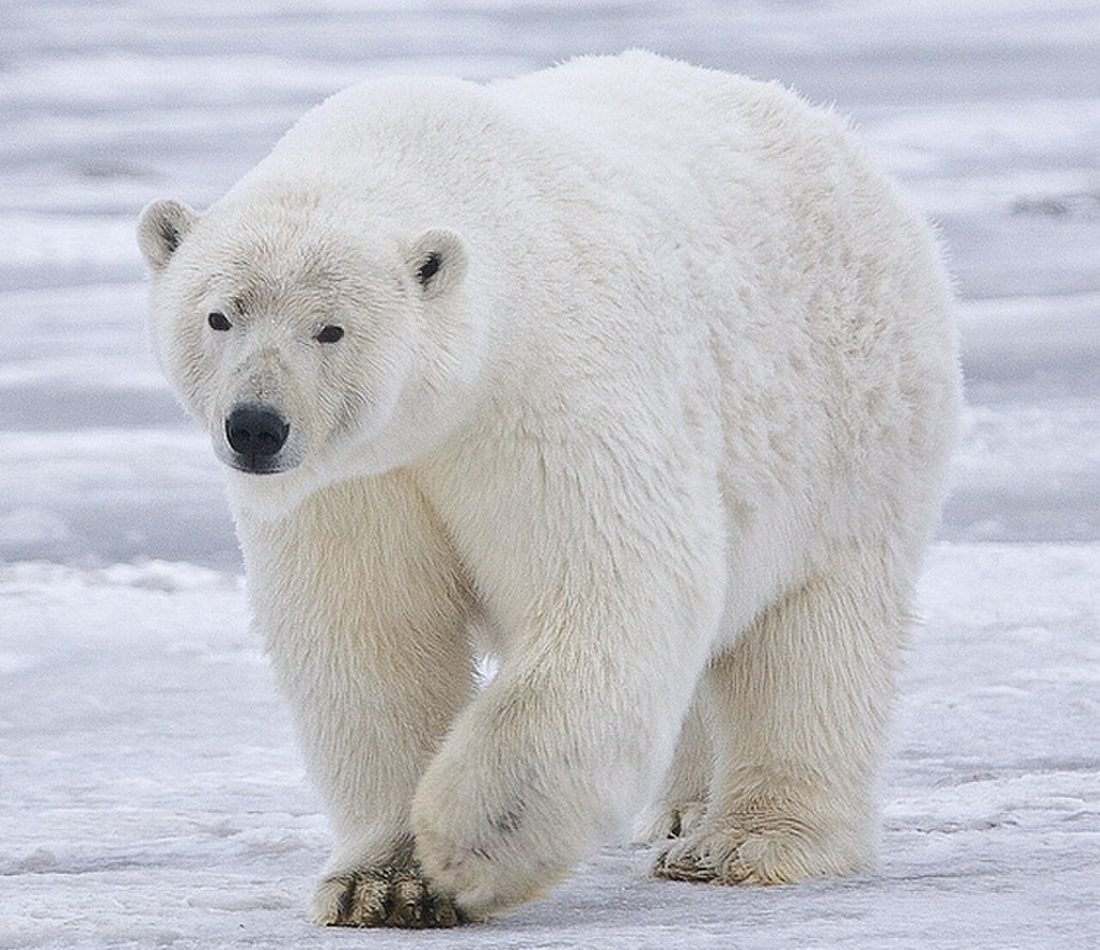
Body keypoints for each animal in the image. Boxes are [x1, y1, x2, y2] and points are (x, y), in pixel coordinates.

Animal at [137, 51, 961, 927]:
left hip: (852, 430)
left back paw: (744, 842)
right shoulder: (356, 480)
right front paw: (382, 883)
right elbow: (370, 634)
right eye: (219, 316)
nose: (256, 427)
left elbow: (612, 586)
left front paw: (469, 844)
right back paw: (681, 809)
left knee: (812, 639)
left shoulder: (548, 393)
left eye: (331, 329)